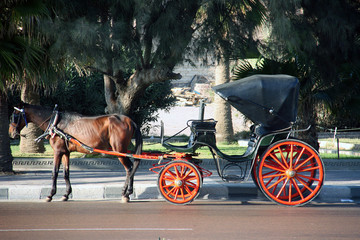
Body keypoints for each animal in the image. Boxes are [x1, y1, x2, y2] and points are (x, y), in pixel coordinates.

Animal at [9, 101, 142, 202]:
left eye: (14, 116)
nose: (11, 133)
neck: (55, 122)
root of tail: (130, 121)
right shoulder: (65, 152)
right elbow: (66, 173)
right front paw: (66, 194)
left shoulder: (57, 152)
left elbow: (54, 173)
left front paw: (50, 194)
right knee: (130, 168)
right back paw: (126, 192)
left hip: (119, 150)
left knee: (129, 168)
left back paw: (126, 193)